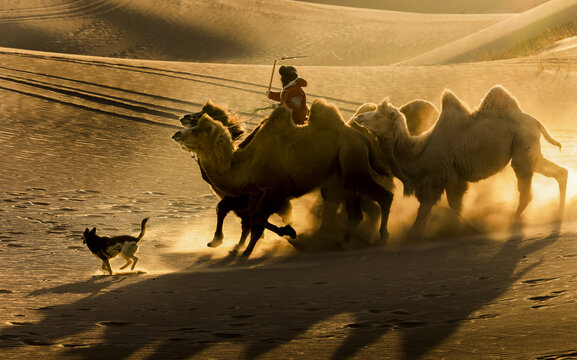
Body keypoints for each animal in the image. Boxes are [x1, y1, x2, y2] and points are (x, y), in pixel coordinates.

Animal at [173, 99, 394, 256]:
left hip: (352, 165)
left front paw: (288, 234)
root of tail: (362, 137)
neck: (246, 163)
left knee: (383, 197)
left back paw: (380, 239)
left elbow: (256, 219)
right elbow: (252, 221)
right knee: (354, 212)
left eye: (196, 129)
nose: (177, 133)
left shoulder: (274, 191)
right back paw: (340, 242)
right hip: (339, 175)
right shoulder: (258, 194)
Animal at [352, 85, 568, 235]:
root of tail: (534, 120)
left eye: (378, 115)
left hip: (522, 144)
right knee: (559, 172)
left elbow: (425, 210)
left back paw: (513, 220)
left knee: (526, 189)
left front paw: (413, 234)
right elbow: (455, 207)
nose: (358, 118)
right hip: (530, 149)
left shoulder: (437, 178)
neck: (416, 154)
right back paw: (558, 213)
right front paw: (464, 227)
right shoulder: (455, 180)